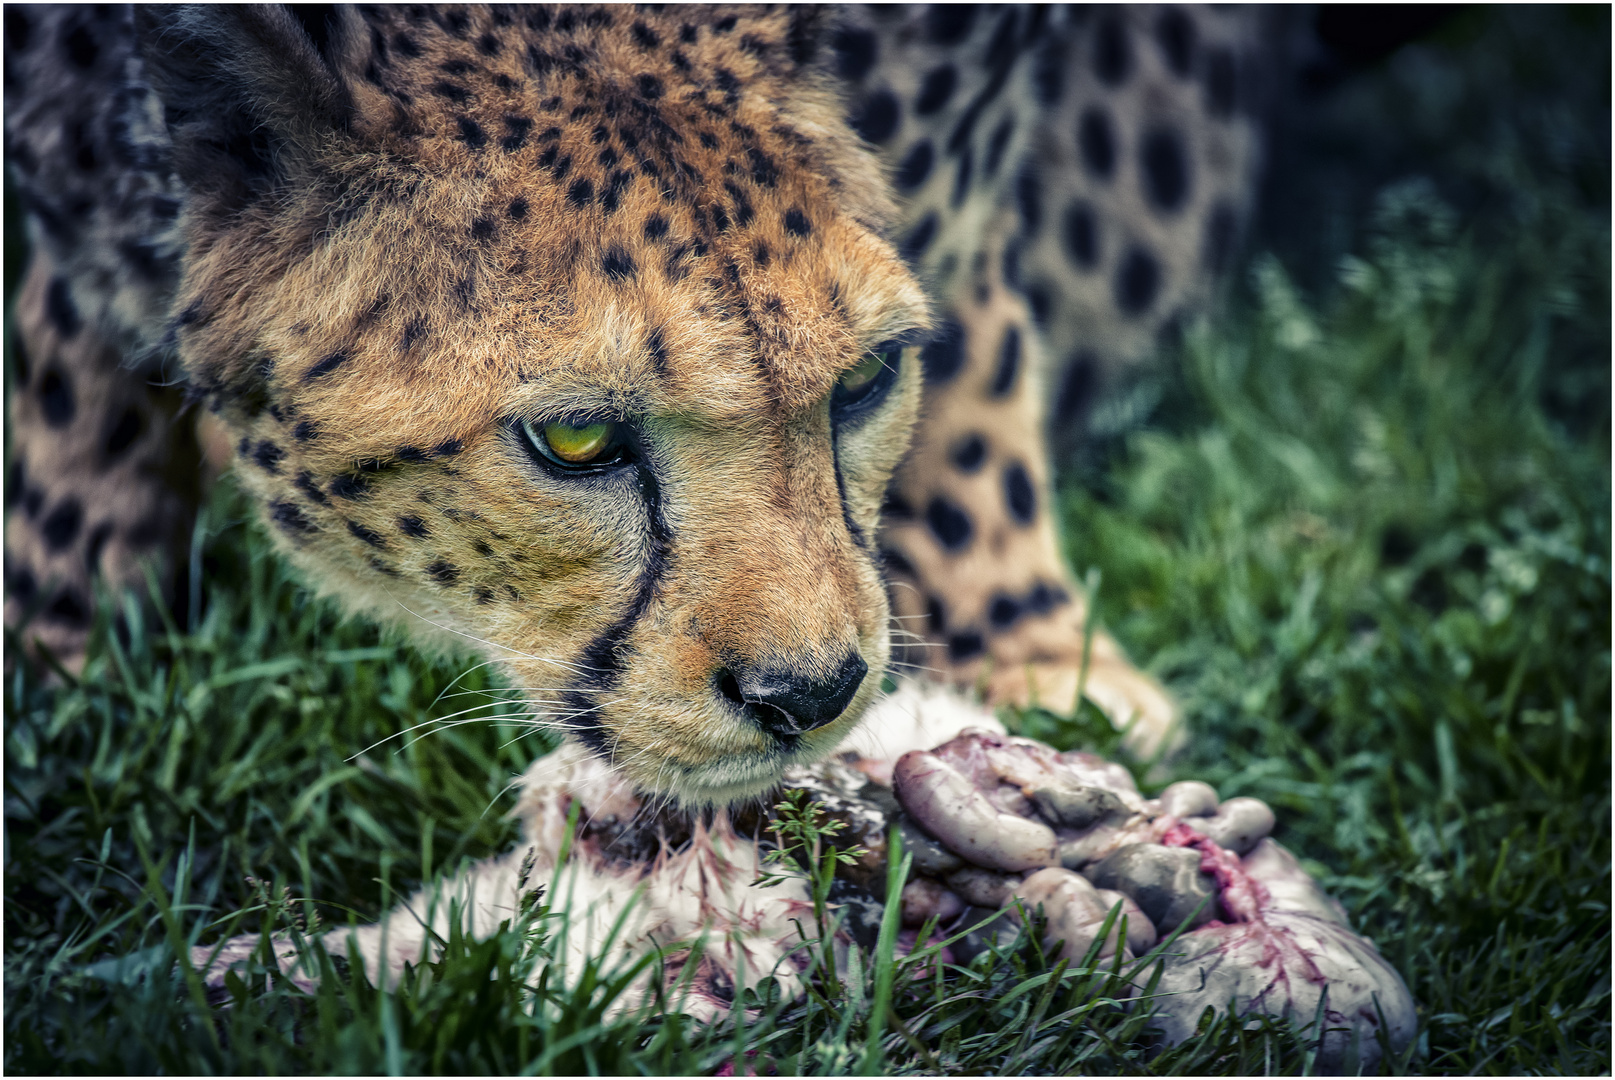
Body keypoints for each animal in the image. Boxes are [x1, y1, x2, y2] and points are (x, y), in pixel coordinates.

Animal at [3, 6, 1259, 800]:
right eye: (575, 438)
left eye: (863, 382)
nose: (810, 696)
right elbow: (61, 390)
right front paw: (57, 654)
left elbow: (966, 288)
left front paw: (1029, 647)